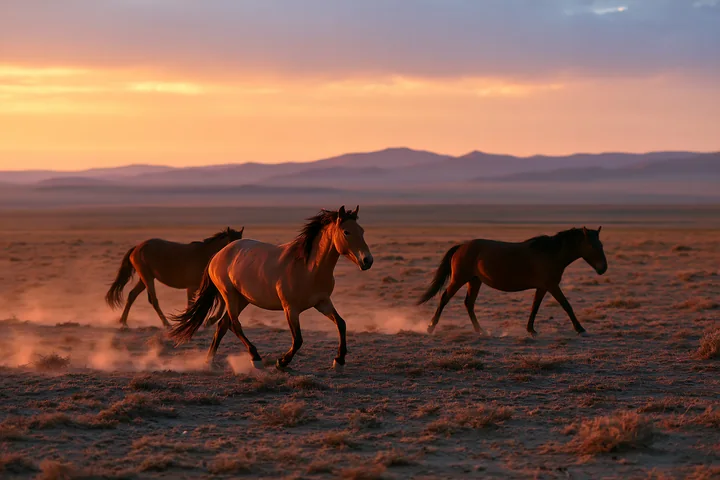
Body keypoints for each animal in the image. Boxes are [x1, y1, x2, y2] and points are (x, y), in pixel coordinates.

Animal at [105, 227, 244, 328]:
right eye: (231, 243)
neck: (205, 254)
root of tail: (137, 247)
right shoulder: (192, 287)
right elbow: (191, 304)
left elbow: (222, 300)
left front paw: (210, 320)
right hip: (147, 278)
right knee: (153, 300)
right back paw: (166, 323)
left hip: (144, 278)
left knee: (132, 295)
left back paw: (123, 321)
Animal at [169, 206, 373, 371]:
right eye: (346, 232)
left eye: (362, 231)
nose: (367, 260)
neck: (308, 268)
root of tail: (218, 254)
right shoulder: (290, 309)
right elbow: (298, 339)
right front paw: (281, 362)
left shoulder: (322, 302)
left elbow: (341, 324)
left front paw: (339, 361)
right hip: (229, 295)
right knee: (234, 325)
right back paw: (256, 358)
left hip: (243, 299)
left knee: (223, 325)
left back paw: (209, 361)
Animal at [418, 227, 607, 336]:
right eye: (592, 246)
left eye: (602, 245)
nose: (603, 268)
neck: (550, 253)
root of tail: (462, 246)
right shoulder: (552, 286)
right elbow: (566, 305)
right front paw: (580, 329)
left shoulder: (543, 287)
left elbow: (535, 307)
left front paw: (531, 329)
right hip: (459, 279)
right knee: (445, 298)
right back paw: (431, 327)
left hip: (474, 281)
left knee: (469, 304)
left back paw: (480, 330)